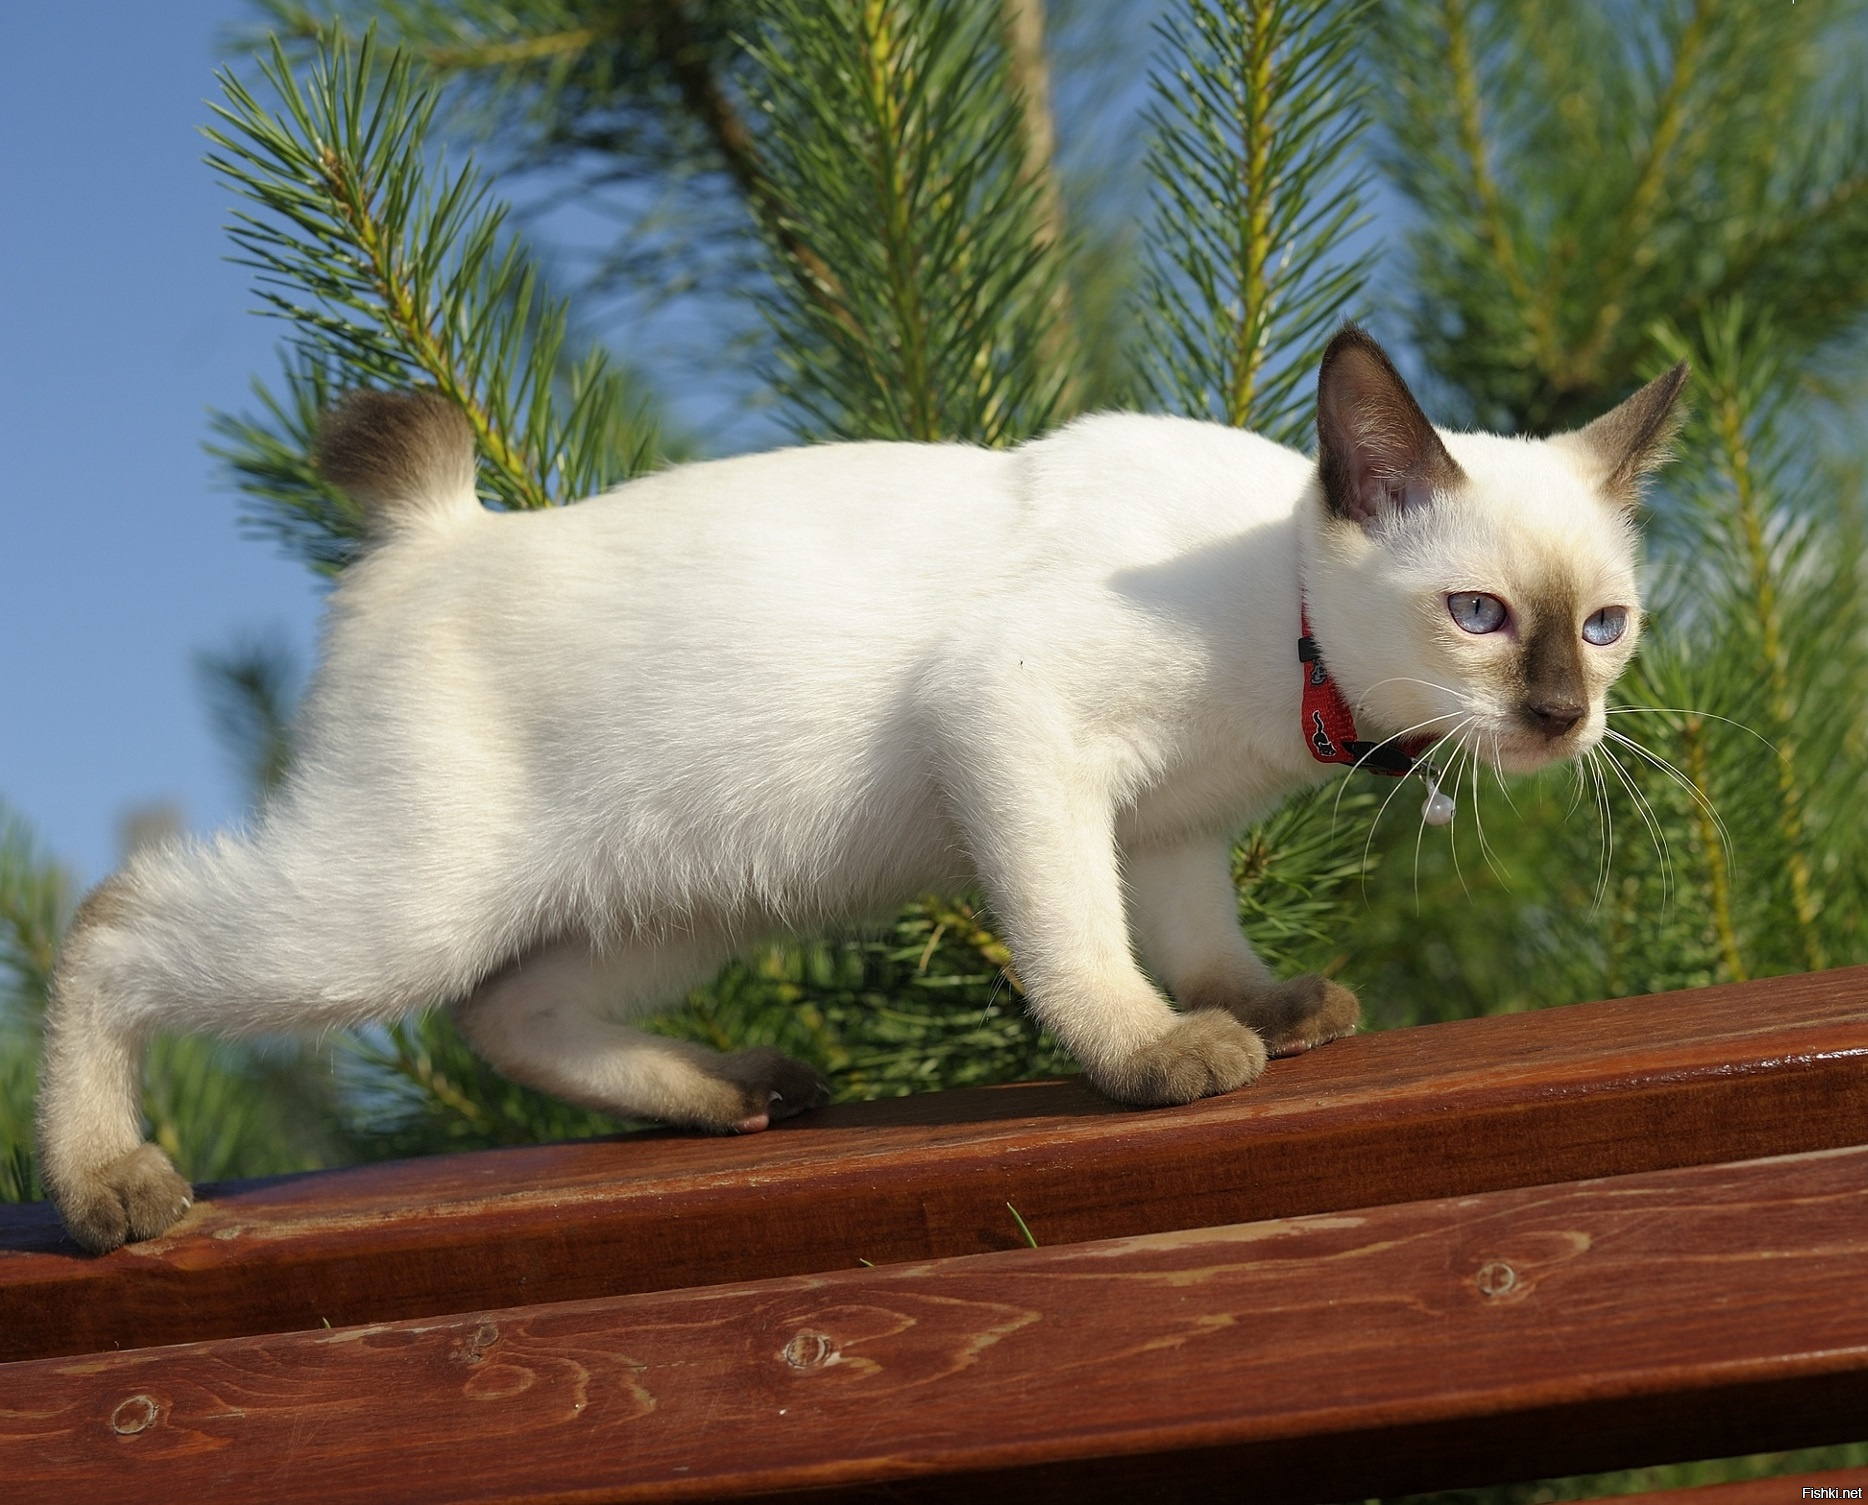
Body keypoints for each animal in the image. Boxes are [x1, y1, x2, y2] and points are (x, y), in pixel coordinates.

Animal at [32, 330, 1696, 1262]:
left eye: (1607, 626)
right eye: (1481, 617)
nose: (1565, 717)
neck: (1283, 643)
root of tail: (442, 531)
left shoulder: (1164, 826)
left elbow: (1201, 938)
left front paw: (1275, 1012)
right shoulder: (1019, 734)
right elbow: (1087, 955)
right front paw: (1164, 1058)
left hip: (671, 902)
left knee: (505, 1014)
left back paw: (735, 1095)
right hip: (400, 908)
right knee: (117, 919)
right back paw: (108, 1188)